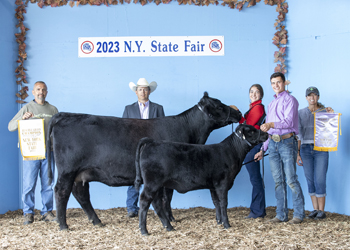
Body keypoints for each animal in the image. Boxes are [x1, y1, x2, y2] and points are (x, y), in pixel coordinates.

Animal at [47, 92, 243, 230]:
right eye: (218, 105)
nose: (238, 111)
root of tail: (64, 115)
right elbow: (167, 197)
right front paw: (170, 218)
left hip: (81, 173)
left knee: (80, 194)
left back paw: (97, 221)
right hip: (67, 170)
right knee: (61, 191)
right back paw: (63, 225)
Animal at [134, 124, 268, 235]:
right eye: (251, 131)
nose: (266, 134)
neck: (232, 152)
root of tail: (151, 142)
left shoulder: (213, 185)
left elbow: (216, 203)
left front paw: (219, 221)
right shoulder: (222, 183)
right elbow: (223, 203)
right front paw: (226, 224)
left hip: (158, 185)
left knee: (156, 203)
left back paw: (169, 227)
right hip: (152, 183)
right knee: (144, 201)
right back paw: (144, 230)